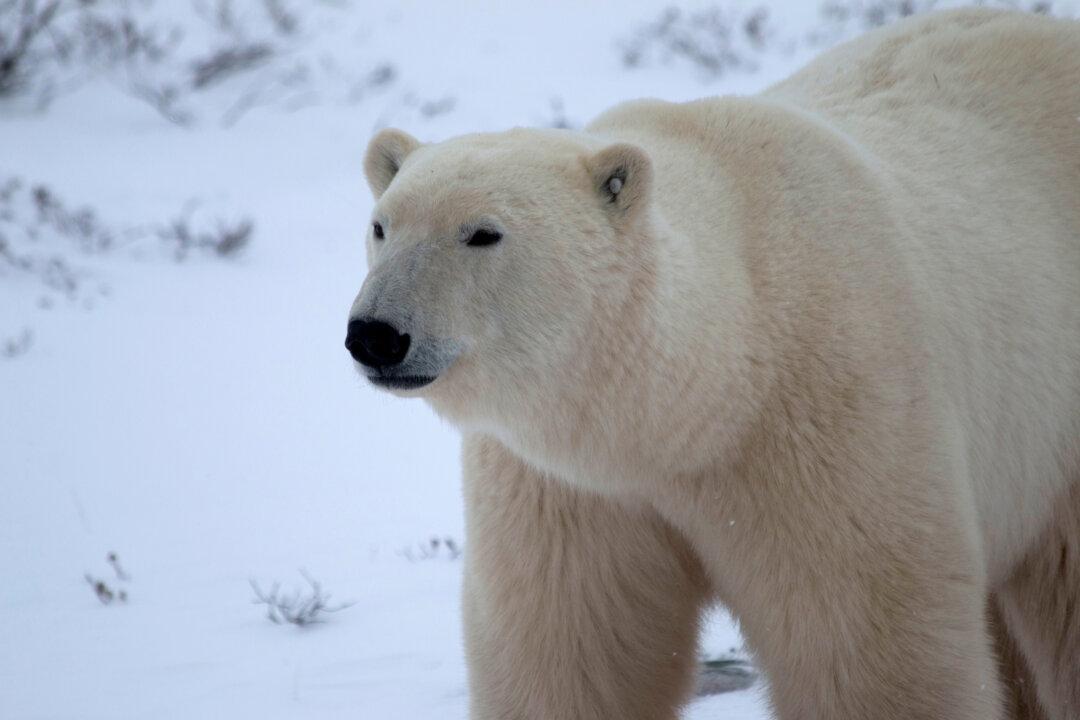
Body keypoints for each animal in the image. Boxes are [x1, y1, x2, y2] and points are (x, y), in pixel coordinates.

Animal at [345, 8, 1080, 720]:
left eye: (482, 233)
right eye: (382, 225)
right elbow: (571, 651)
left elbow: (866, 644)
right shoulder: (571, 491)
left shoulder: (833, 430)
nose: (375, 335)